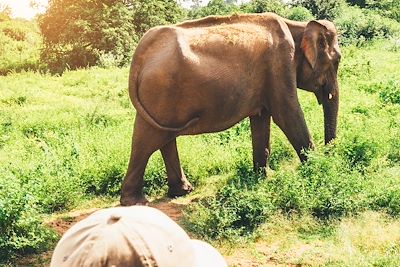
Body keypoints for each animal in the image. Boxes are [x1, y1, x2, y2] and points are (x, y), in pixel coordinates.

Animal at [119, 12, 340, 206]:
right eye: (337, 59)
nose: (330, 154)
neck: (298, 26)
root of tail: (140, 55)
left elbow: (261, 118)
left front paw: (263, 177)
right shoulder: (280, 66)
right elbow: (287, 114)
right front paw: (318, 169)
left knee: (159, 137)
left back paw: (181, 192)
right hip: (160, 91)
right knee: (147, 140)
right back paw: (136, 202)